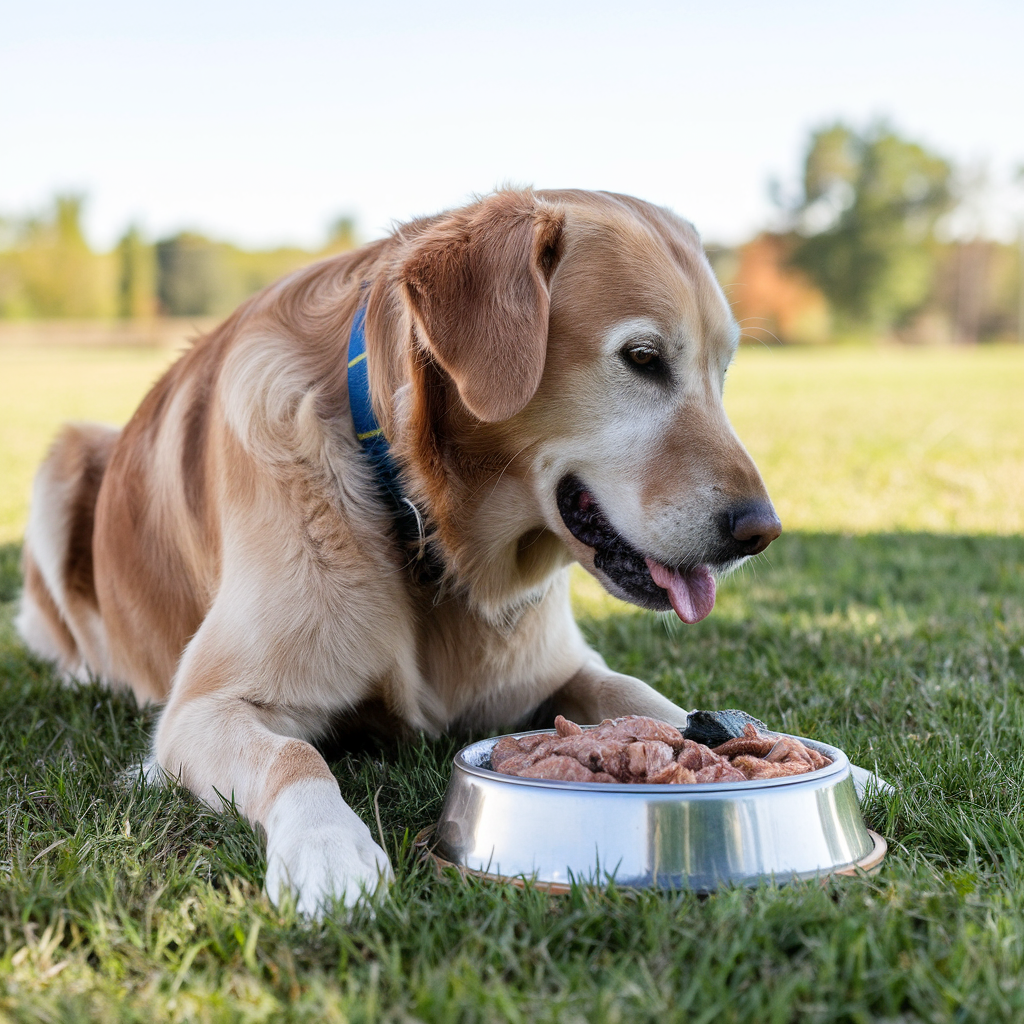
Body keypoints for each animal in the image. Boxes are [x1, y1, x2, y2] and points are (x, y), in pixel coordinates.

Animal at [16, 188, 782, 917]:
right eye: (643, 358)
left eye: (724, 370)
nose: (761, 531)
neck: (419, 517)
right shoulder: (205, 709)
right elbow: (294, 757)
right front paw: (331, 854)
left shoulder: (562, 668)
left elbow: (640, 696)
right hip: (62, 462)